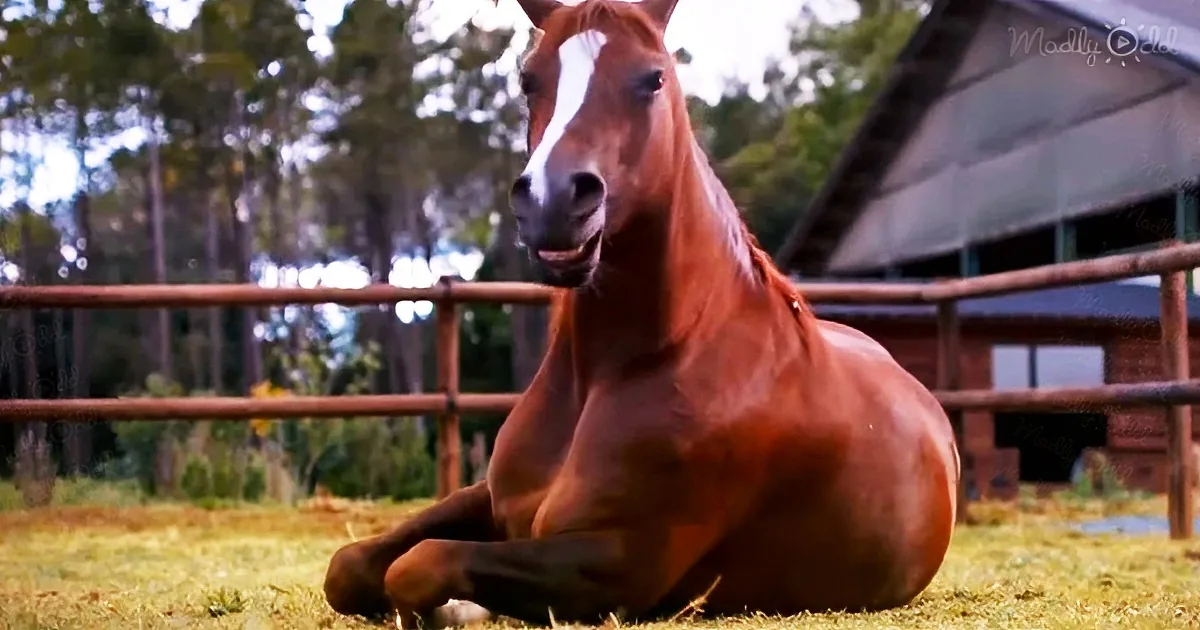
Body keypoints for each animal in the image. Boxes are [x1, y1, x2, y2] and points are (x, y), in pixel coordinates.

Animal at [322, 0, 960, 625]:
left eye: (652, 78)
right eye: (529, 79)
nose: (554, 203)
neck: (625, 368)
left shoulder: (618, 566)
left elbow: (419, 566)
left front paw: (452, 607)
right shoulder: (491, 500)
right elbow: (350, 566)